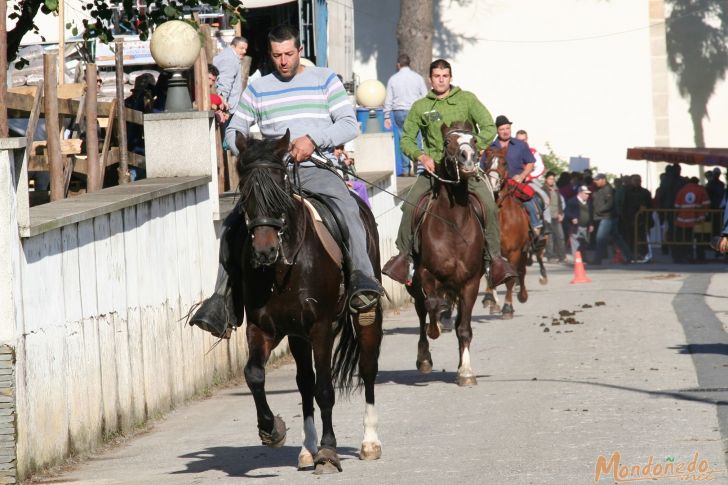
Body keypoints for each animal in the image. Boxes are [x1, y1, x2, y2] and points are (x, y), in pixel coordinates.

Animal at [233, 131, 384, 472]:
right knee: (303, 383)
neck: (283, 268)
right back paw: (306, 449)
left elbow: (324, 389)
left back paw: (369, 443)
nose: (264, 252)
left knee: (367, 368)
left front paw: (328, 451)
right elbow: (255, 374)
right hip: (297, 335)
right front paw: (271, 429)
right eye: (245, 192)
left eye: (279, 188)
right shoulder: (263, 328)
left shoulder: (321, 327)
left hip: (365, 315)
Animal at [406, 121, 486, 386]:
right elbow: (431, 306)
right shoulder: (426, 274)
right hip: (414, 285)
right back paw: (424, 357)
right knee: (422, 311)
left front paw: (466, 372)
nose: (468, 158)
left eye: (474, 140)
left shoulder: (470, 283)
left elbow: (465, 328)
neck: (453, 224)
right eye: (447, 142)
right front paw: (437, 326)